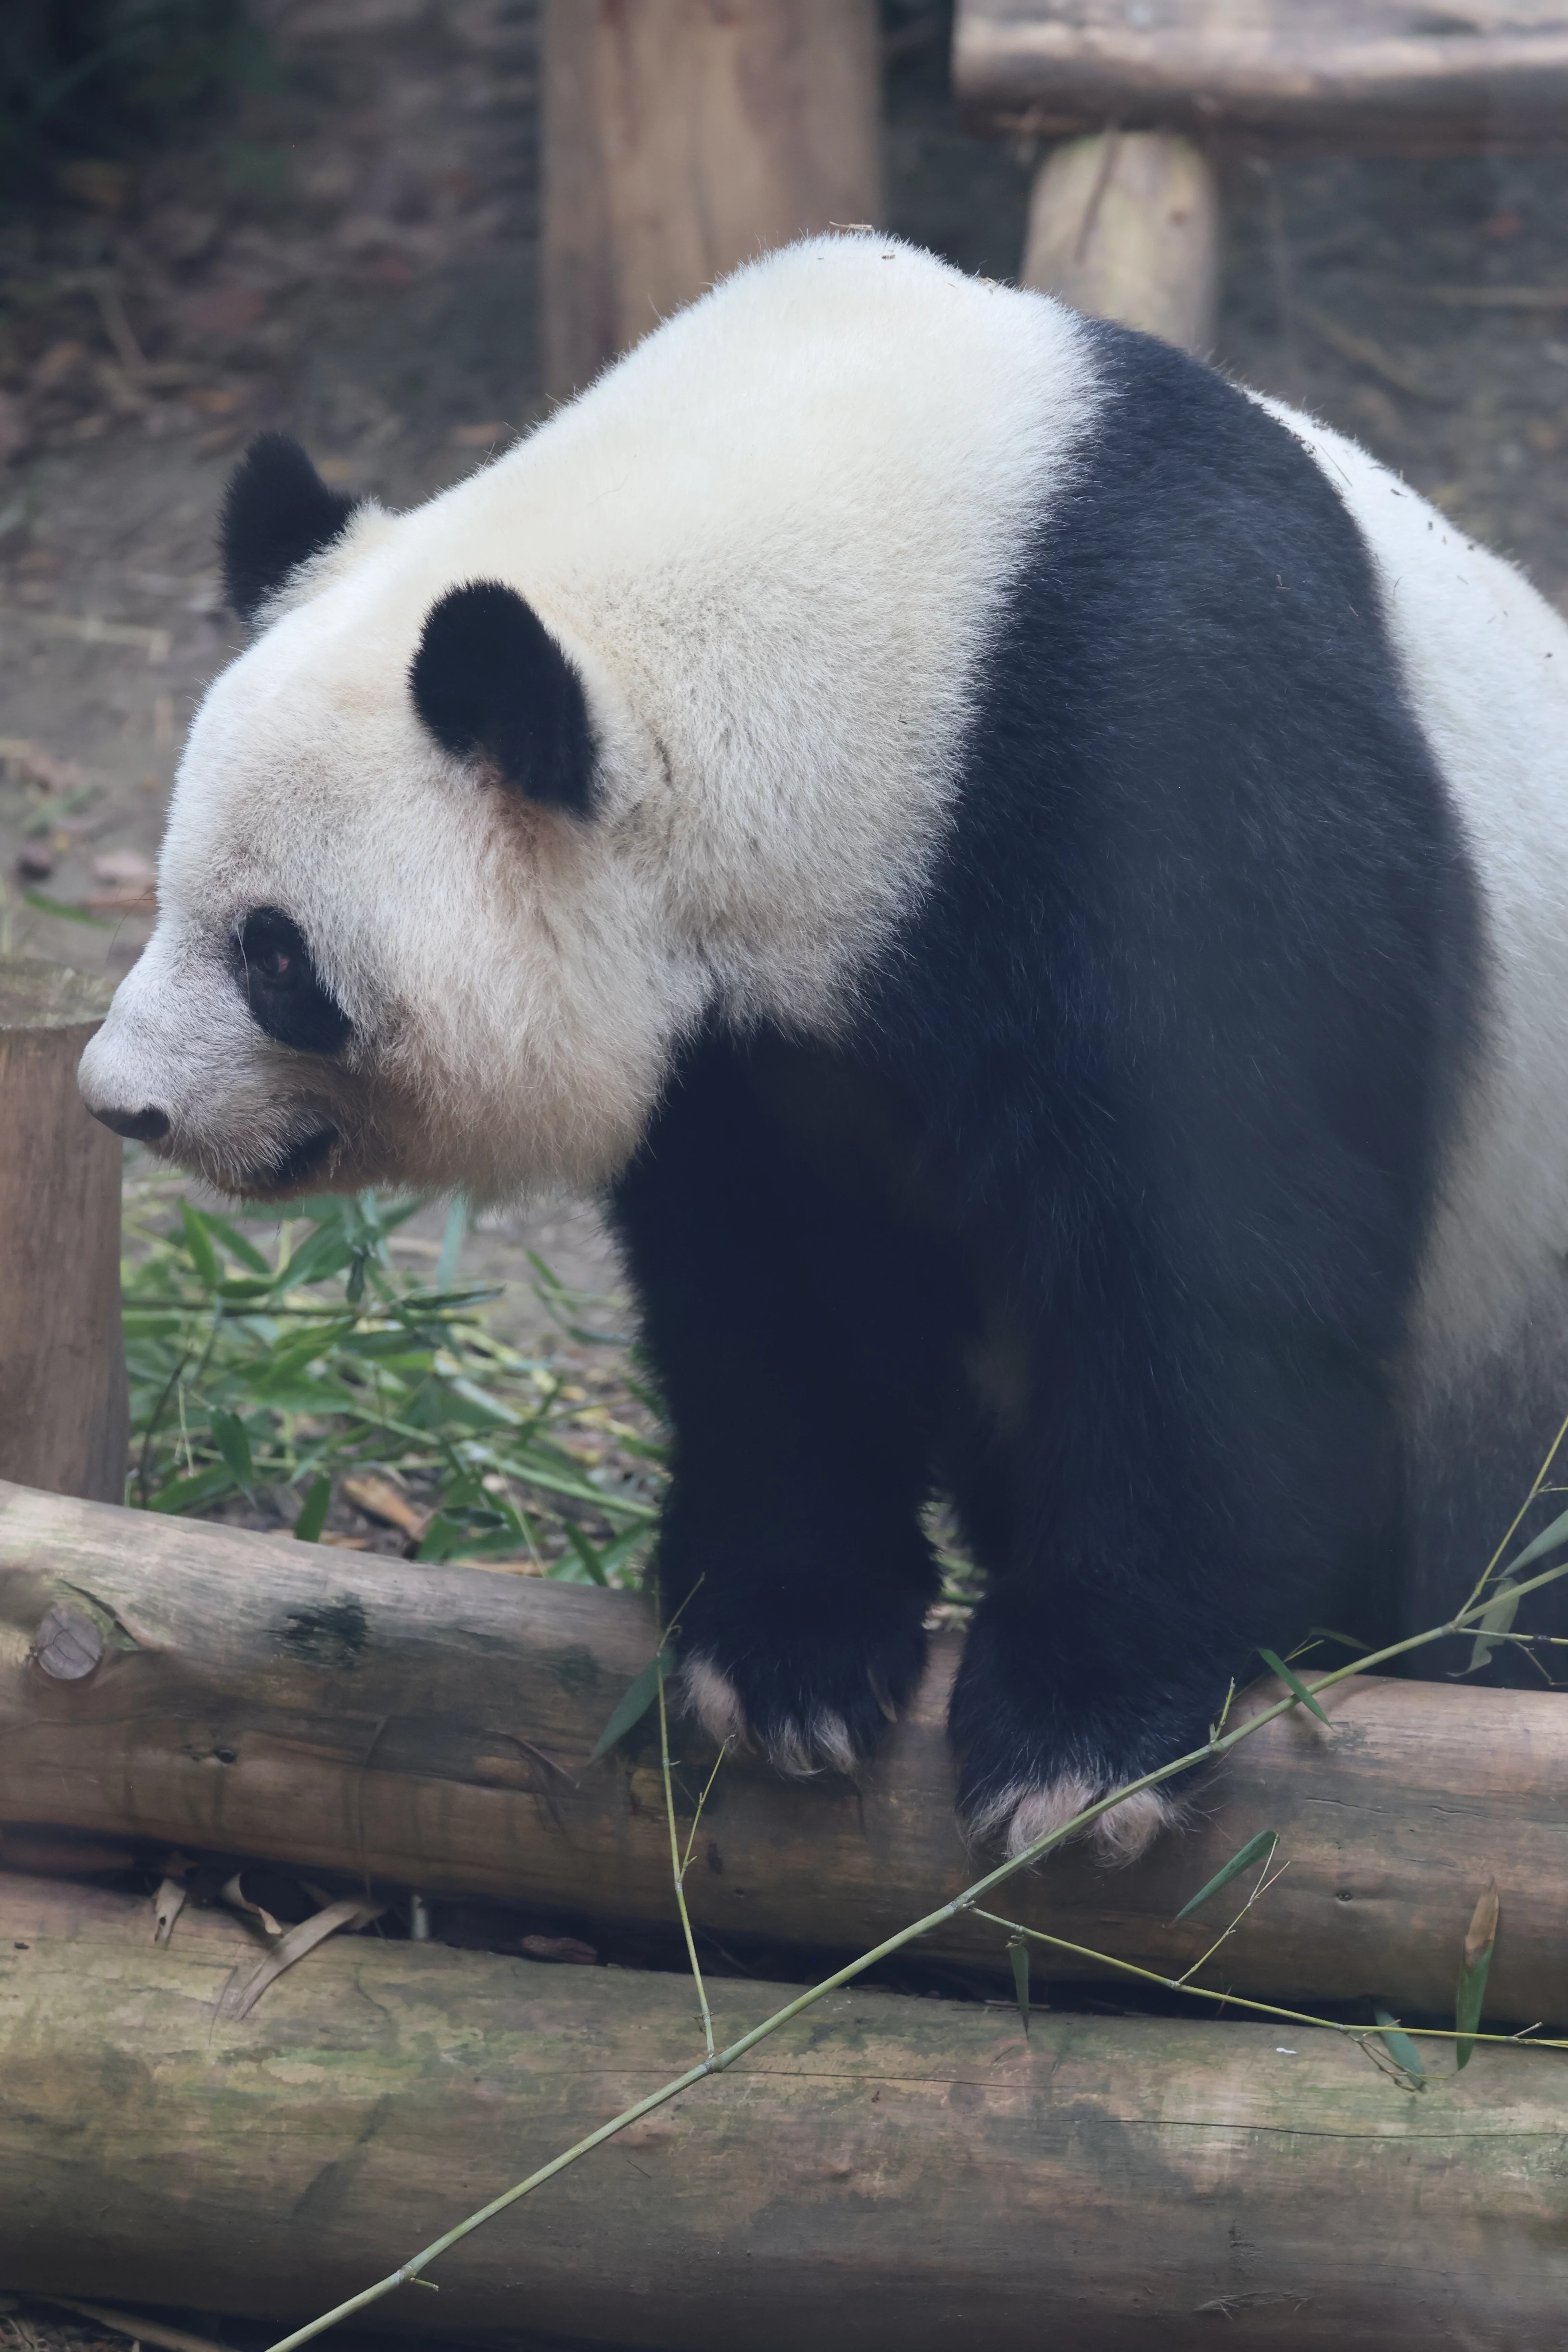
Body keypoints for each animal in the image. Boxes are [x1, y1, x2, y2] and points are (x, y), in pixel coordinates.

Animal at [79, 233, 1568, 1864]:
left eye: (276, 955)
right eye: (171, 888)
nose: (122, 1101)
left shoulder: (1179, 765)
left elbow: (1219, 1258)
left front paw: (1083, 1730)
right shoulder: (757, 1035)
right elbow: (771, 1281)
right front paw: (786, 1648)